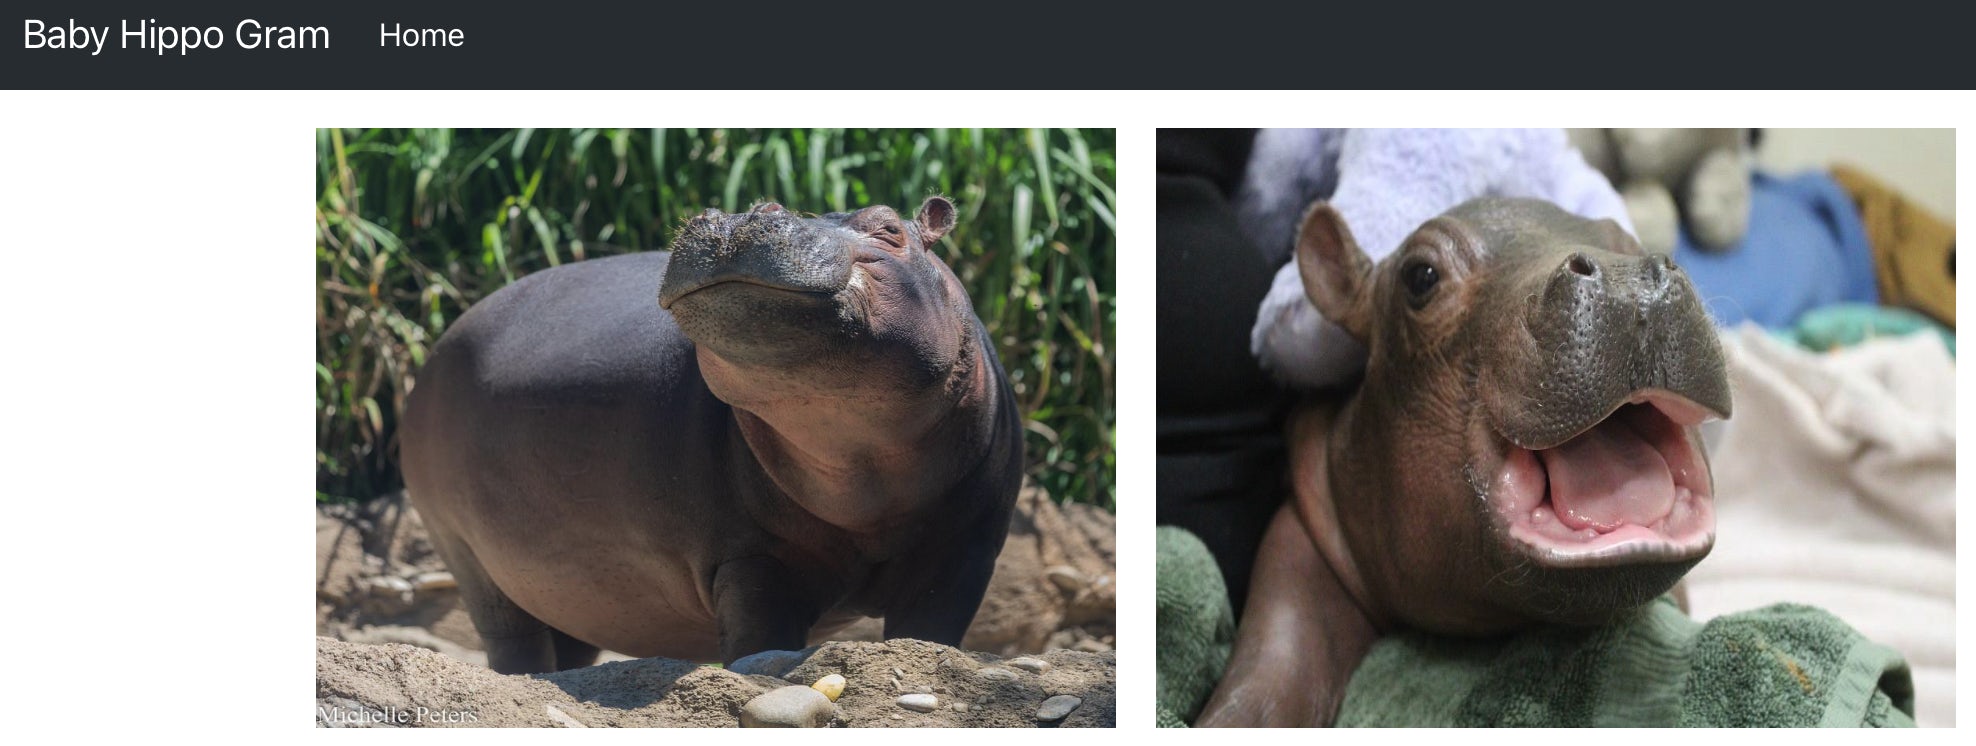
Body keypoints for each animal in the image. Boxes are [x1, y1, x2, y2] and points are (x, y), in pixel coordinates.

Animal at [400, 197, 1024, 674]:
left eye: (890, 229)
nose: (746, 213)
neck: (865, 463)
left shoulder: (964, 552)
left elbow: (932, 633)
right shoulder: (752, 558)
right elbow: (758, 642)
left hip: (560, 586)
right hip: (465, 553)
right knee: (511, 637)